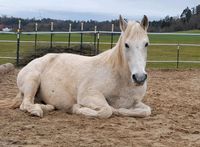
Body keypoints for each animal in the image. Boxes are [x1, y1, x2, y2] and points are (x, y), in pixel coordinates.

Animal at [0, 15, 151, 118]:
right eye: (126, 44)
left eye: (146, 44)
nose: (139, 78)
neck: (120, 79)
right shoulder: (89, 95)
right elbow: (107, 110)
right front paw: (77, 108)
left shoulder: (135, 102)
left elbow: (146, 111)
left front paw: (123, 111)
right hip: (32, 79)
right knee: (25, 103)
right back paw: (37, 110)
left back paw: (47, 107)